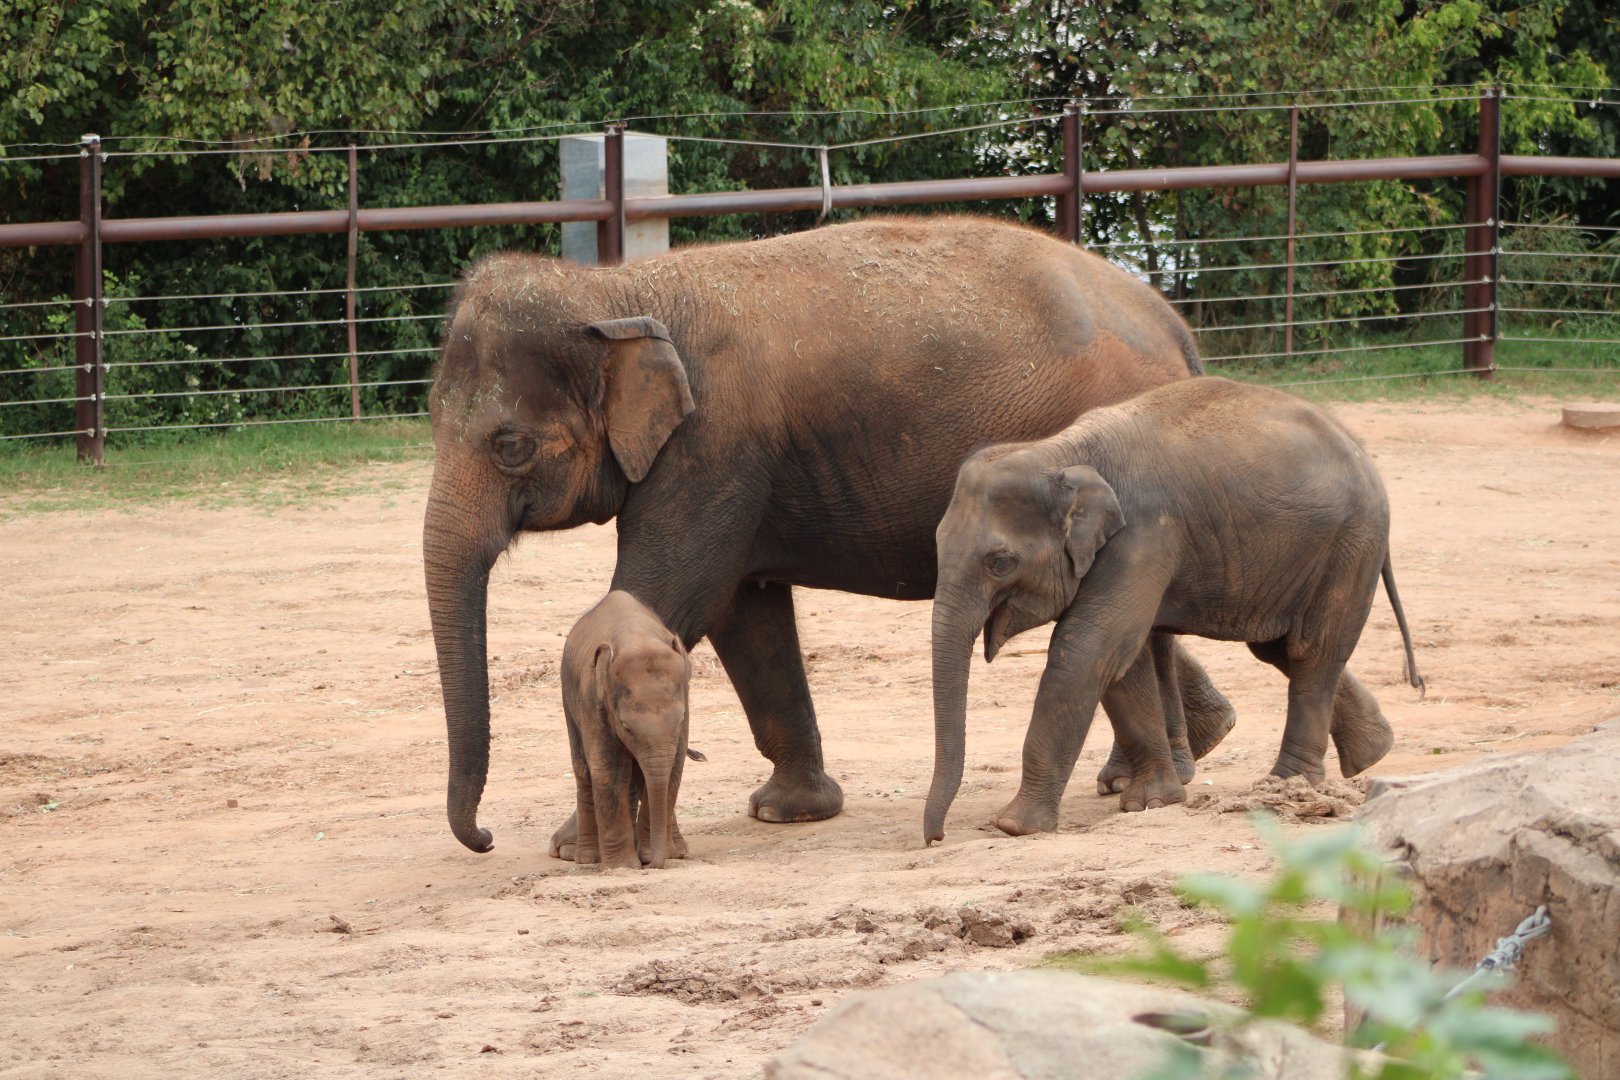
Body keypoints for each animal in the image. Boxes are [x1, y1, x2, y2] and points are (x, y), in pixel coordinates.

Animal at [563, 591, 690, 869]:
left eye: (680, 721)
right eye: (626, 727)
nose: (652, 864)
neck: (637, 638)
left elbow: (674, 768)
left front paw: (650, 855)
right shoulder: (593, 702)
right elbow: (607, 769)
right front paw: (623, 866)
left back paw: (678, 850)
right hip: (569, 700)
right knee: (583, 770)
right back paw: (586, 858)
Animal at [924, 376, 1423, 844]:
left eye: (1000, 562)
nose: (936, 837)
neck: (1058, 451)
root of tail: (1360, 452)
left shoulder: (1144, 535)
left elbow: (1087, 650)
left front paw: (1014, 826)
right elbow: (1125, 662)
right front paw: (1153, 801)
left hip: (1351, 543)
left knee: (1311, 652)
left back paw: (1286, 785)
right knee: (1278, 648)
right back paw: (1372, 752)